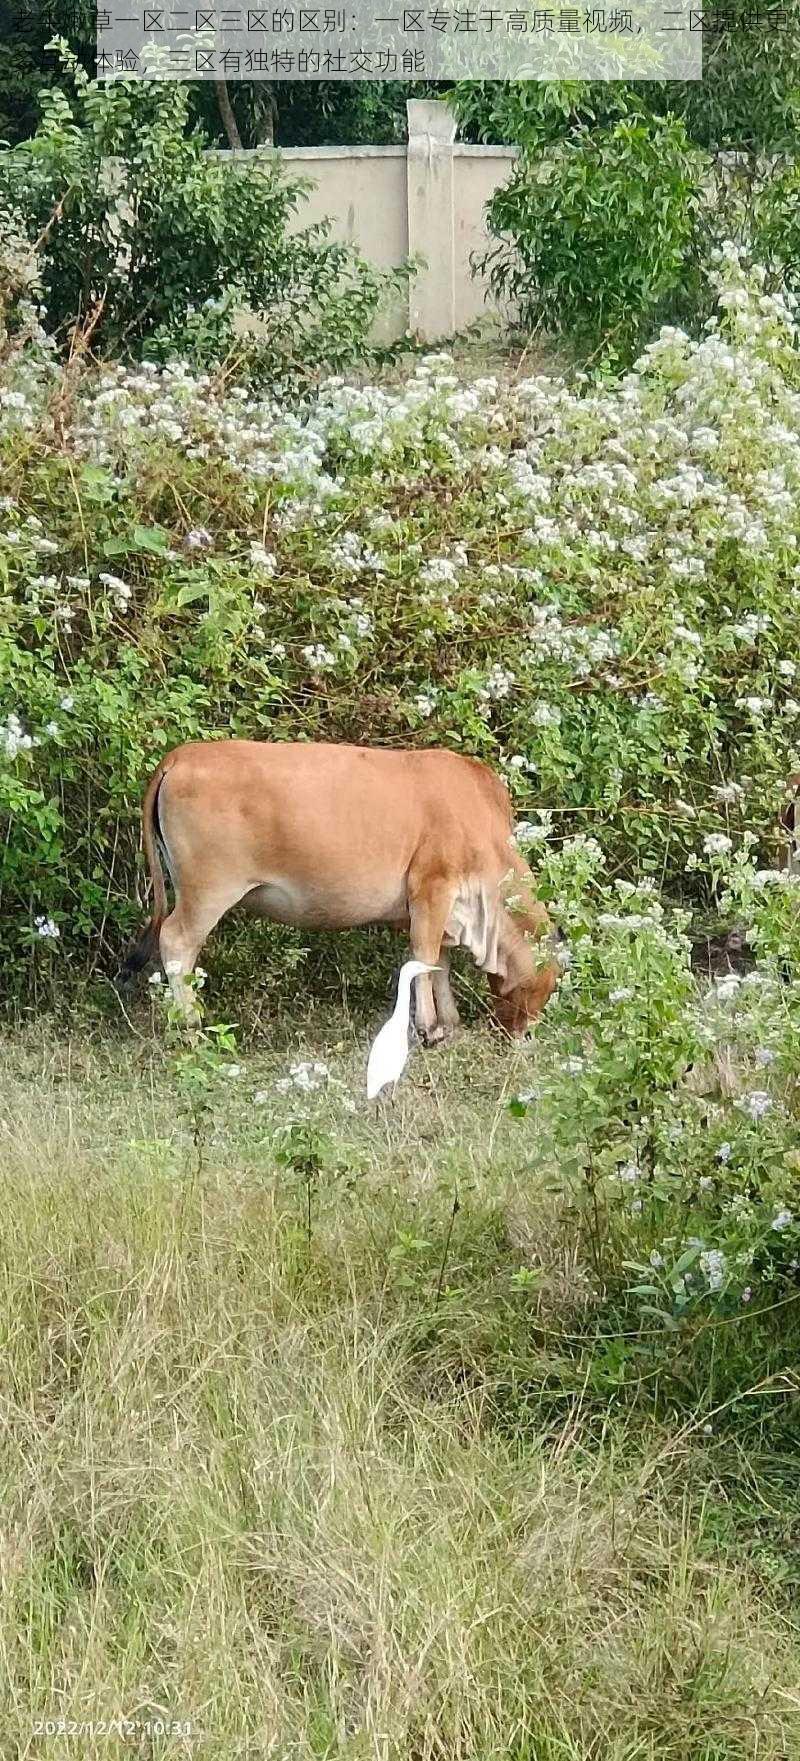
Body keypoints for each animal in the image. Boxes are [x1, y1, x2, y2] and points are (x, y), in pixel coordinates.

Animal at [121, 739, 560, 1035]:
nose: (520, 1032)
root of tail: (183, 755)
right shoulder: (433, 887)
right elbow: (424, 954)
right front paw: (429, 1028)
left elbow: (438, 960)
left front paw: (448, 1024)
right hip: (207, 891)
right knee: (177, 941)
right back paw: (190, 1024)